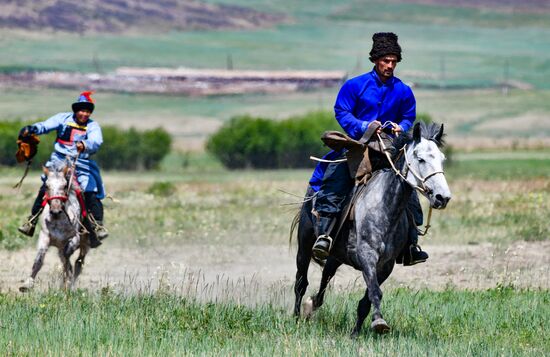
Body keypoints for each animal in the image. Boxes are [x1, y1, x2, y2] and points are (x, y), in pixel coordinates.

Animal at [294, 121, 452, 336]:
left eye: (442, 159)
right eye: (420, 158)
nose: (442, 197)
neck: (384, 208)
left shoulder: (386, 264)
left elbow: (367, 299)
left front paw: (356, 332)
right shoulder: (367, 256)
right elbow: (375, 291)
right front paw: (379, 322)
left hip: (336, 255)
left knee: (326, 275)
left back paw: (312, 305)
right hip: (304, 246)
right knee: (301, 282)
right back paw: (295, 318)